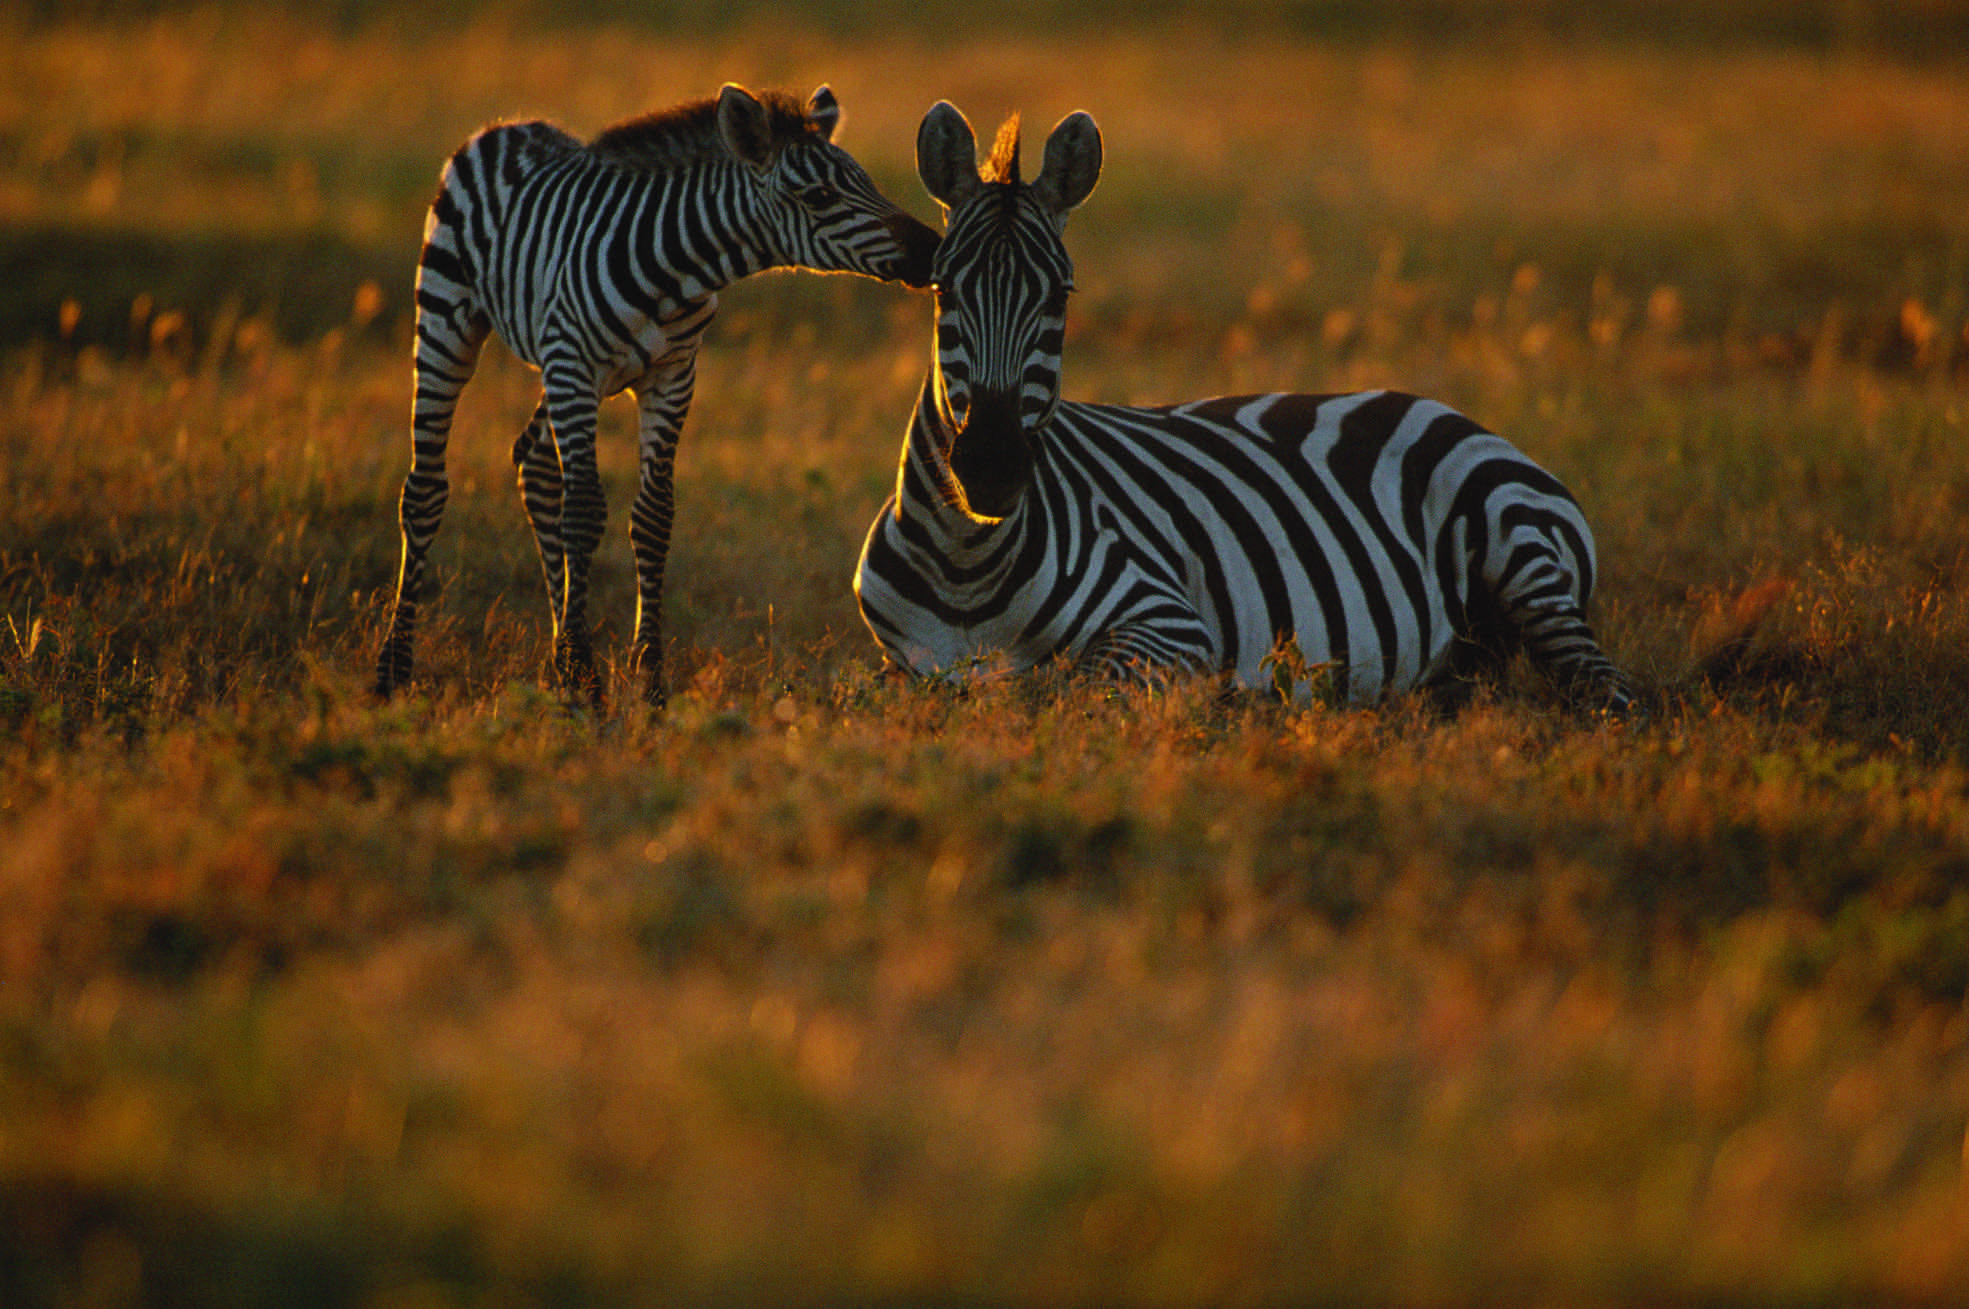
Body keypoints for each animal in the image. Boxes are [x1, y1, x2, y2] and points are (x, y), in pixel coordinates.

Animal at [375, 83, 940, 708]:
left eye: (866, 181)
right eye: (818, 196)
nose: (933, 250)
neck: (677, 272)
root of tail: (507, 126)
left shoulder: (672, 375)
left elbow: (653, 515)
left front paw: (647, 680)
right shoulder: (574, 364)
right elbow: (584, 511)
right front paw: (588, 678)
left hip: (568, 370)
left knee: (535, 463)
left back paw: (556, 656)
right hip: (452, 322)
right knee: (426, 490)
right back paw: (394, 669)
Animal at [853, 102, 1636, 714]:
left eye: (1060, 297)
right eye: (943, 290)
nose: (990, 468)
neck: (966, 560)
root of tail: (1454, 412)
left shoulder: (1166, 621)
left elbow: (1076, 689)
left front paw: (1227, 694)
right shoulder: (900, 667)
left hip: (1520, 550)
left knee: (1603, 687)